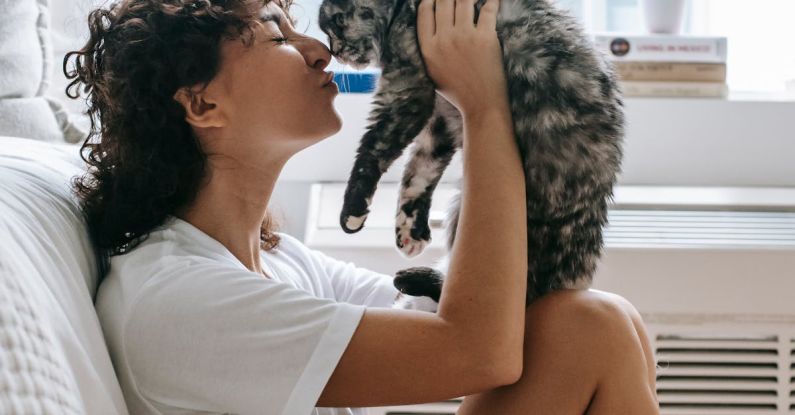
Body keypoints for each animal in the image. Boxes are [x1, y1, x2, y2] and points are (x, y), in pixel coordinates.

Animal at [320, 0, 624, 310]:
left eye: (338, 23)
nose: (334, 50)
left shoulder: (409, 92)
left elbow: (373, 150)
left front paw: (353, 211)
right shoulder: (439, 121)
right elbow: (419, 175)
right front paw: (410, 230)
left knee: (519, 290)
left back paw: (414, 279)